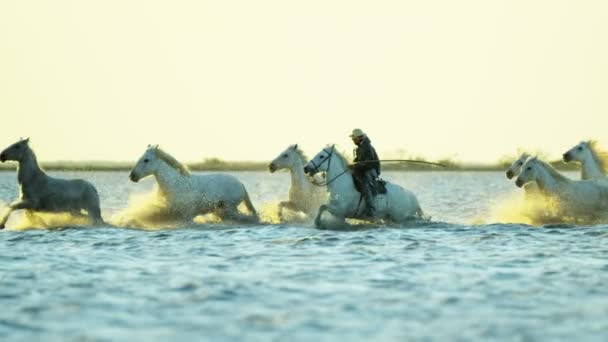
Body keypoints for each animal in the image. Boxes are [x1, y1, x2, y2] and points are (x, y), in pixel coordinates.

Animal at [129, 145, 258, 223]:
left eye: (146, 160)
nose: (132, 176)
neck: (175, 184)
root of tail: (240, 183)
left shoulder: (186, 215)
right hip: (222, 211)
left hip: (229, 209)